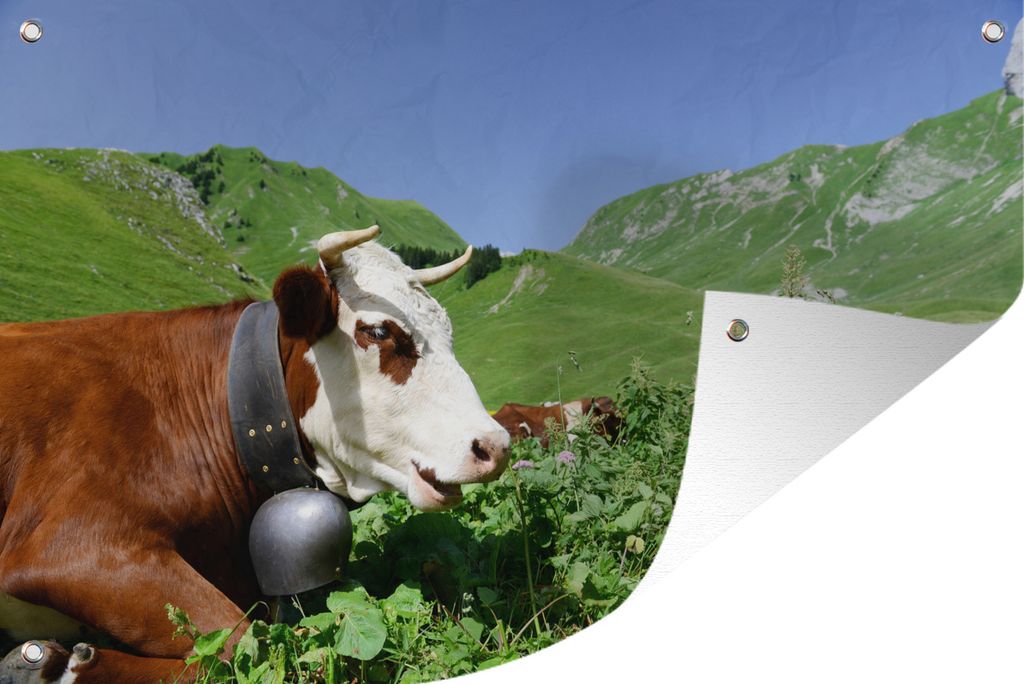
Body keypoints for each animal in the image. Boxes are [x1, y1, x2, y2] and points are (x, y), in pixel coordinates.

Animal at [0, 226, 510, 682]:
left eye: (449, 333)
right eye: (380, 330)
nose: (496, 446)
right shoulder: (73, 544)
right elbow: (239, 641)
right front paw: (55, 665)